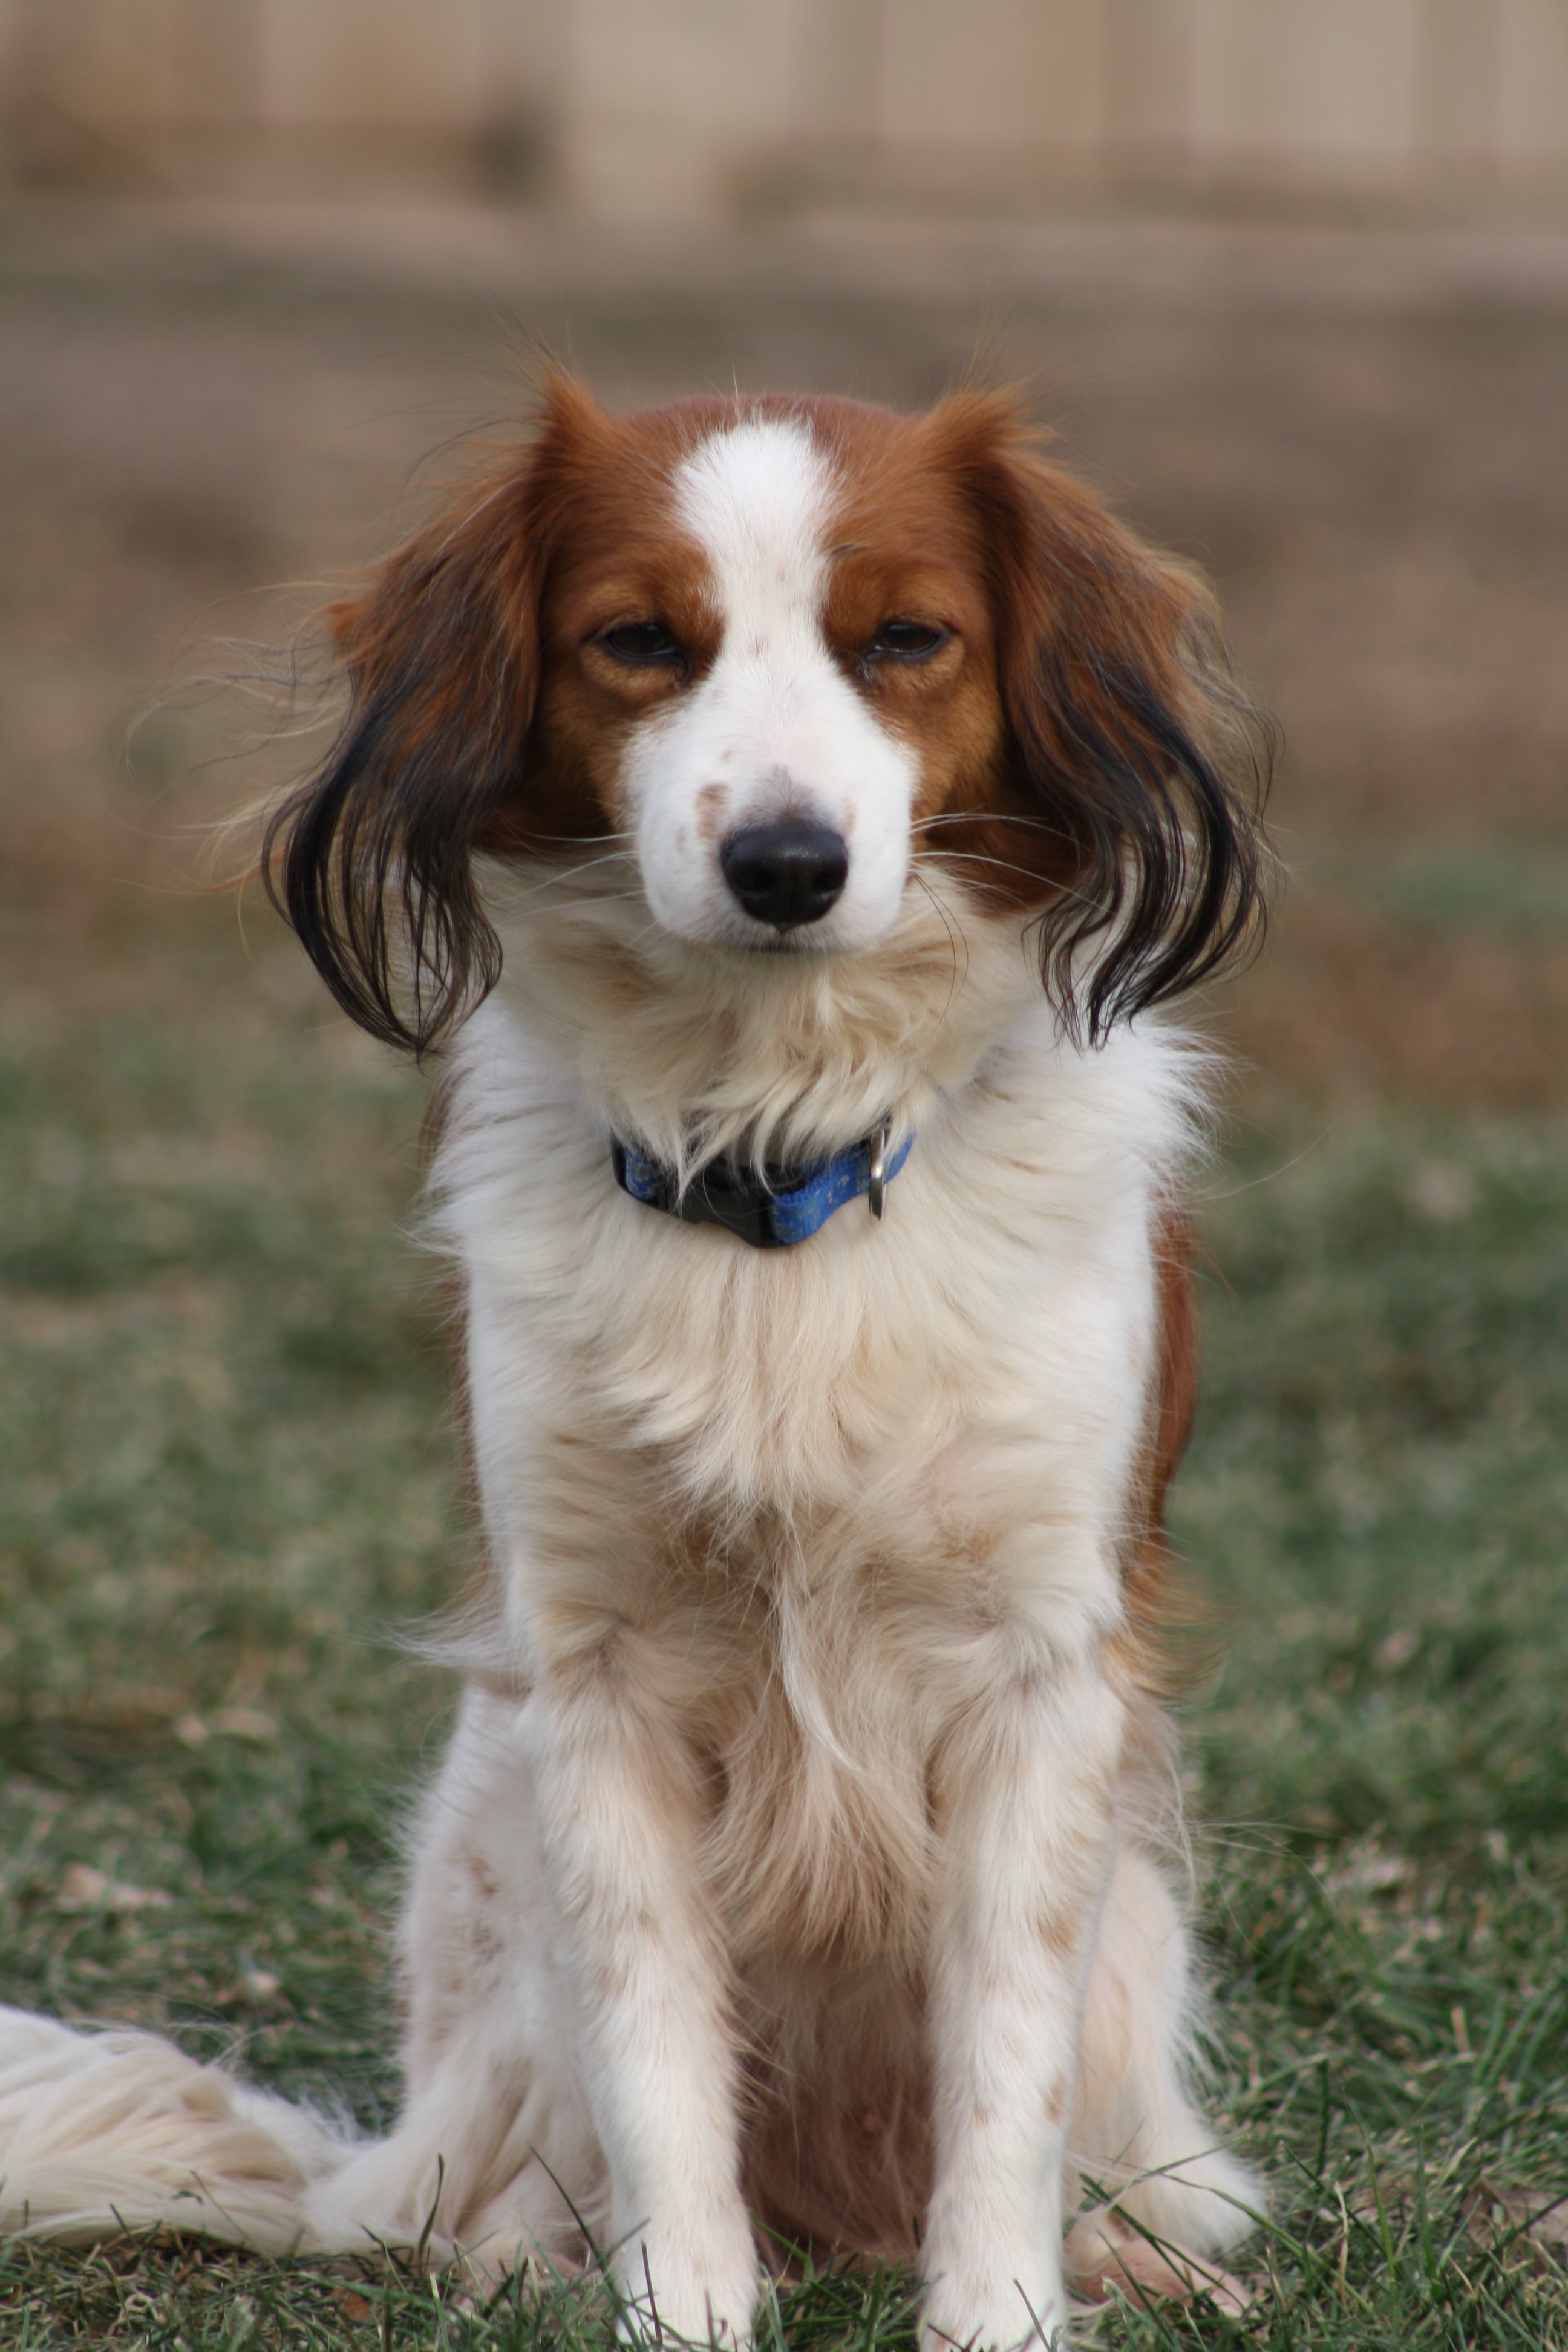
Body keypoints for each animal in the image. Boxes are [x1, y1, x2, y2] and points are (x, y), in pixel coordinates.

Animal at [0, 376, 1279, 2342]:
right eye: (640, 644)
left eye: (905, 640)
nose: (786, 864)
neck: (781, 1163)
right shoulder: (594, 1687)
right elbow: (658, 2060)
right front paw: (682, 2308)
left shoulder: (1039, 1681)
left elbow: (1003, 2074)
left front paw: (1001, 2311)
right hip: (490, 1875)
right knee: (494, 2187)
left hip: (1141, 1915)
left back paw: (1136, 2251)